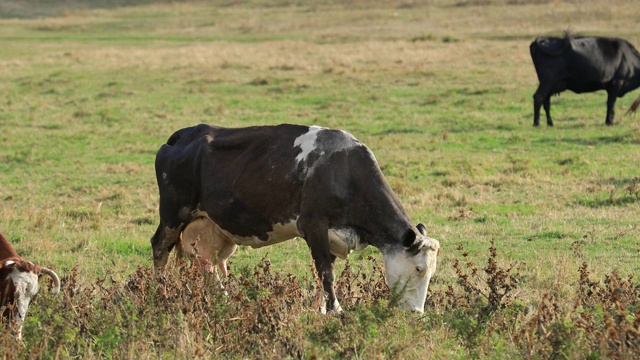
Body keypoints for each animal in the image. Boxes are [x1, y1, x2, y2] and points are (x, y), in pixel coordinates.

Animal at [151, 123, 440, 312]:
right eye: (419, 268)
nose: (417, 313)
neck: (343, 170)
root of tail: (185, 134)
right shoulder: (313, 225)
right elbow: (326, 274)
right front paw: (336, 311)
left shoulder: (331, 237)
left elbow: (323, 274)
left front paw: (320, 310)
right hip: (173, 215)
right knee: (160, 248)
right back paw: (160, 294)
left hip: (209, 228)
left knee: (203, 263)